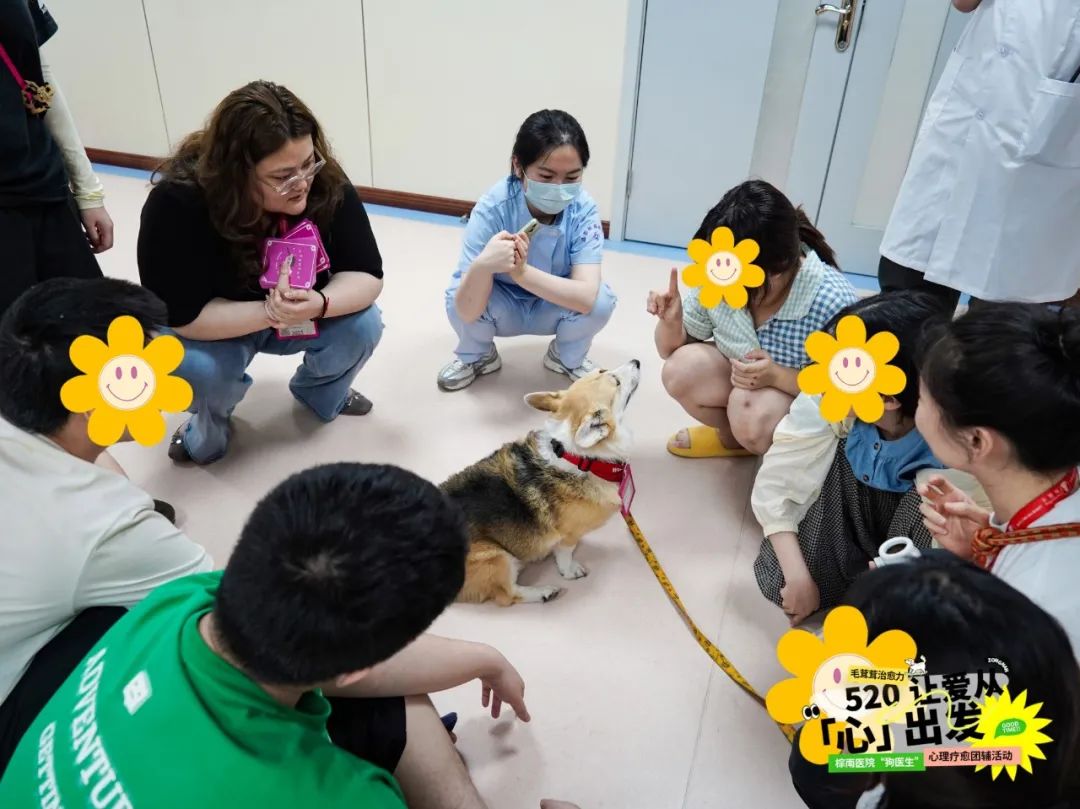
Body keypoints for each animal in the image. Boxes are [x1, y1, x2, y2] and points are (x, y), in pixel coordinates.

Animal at [442, 360, 641, 606]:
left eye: (603, 371)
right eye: (616, 381)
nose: (636, 361)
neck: (578, 457)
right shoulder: (568, 534)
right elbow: (565, 553)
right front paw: (570, 570)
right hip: (497, 557)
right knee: (507, 595)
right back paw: (543, 592)